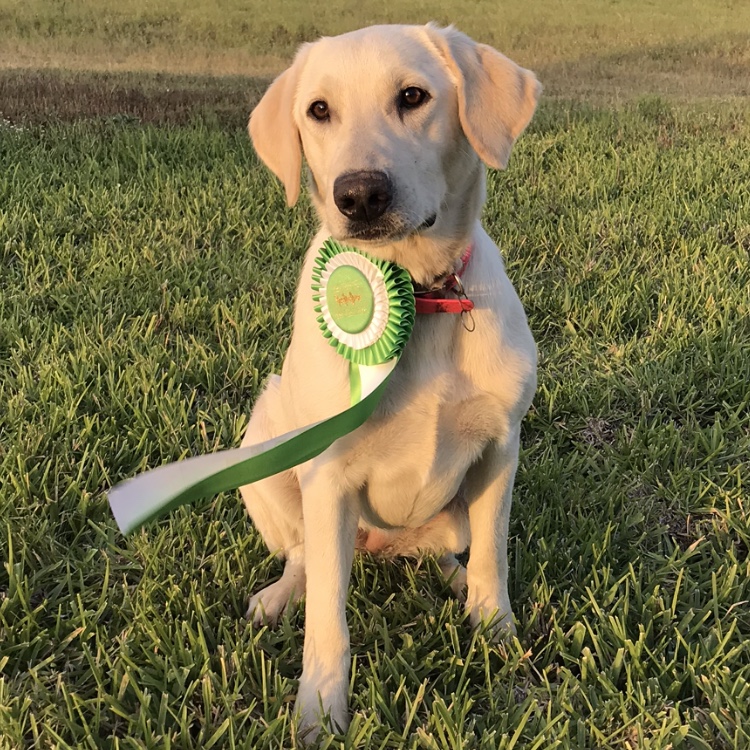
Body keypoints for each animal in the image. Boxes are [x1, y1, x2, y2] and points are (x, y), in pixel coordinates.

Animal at [241, 22, 540, 740]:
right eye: (319, 110)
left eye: (412, 96)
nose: (359, 195)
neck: (418, 296)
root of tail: (376, 548)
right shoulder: (327, 475)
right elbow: (328, 618)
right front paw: (320, 710)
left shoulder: (501, 448)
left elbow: (494, 556)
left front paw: (496, 631)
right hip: (265, 444)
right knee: (304, 557)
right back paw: (276, 599)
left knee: (451, 550)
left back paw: (455, 584)